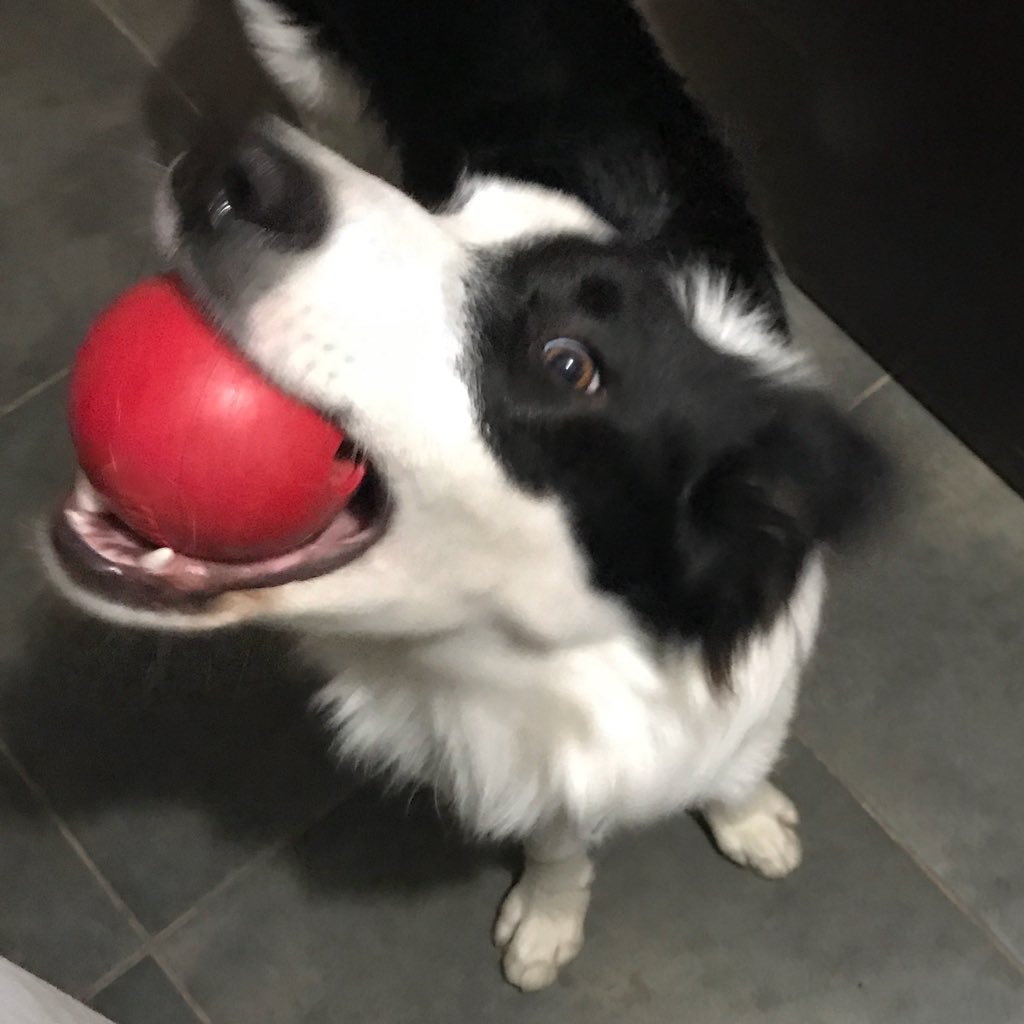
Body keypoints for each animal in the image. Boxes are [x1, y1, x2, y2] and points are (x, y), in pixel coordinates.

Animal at [48, 0, 884, 991]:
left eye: (567, 364)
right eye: (447, 206)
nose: (231, 167)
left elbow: (740, 755)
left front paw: (748, 816)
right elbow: (560, 835)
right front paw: (550, 914)